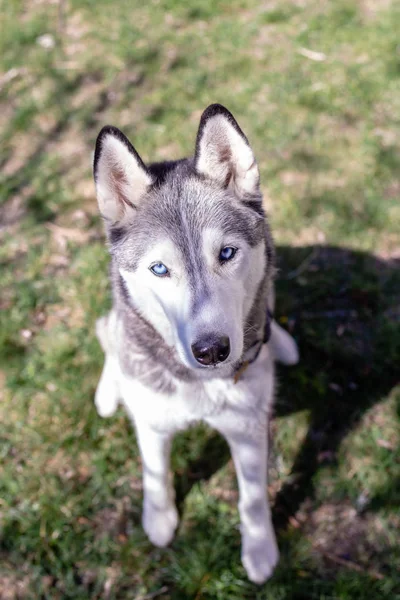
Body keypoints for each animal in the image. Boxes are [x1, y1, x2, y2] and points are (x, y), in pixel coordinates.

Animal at [93, 103, 296, 580]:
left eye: (226, 253)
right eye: (160, 269)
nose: (212, 350)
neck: (201, 384)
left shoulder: (246, 429)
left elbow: (253, 498)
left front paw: (260, 550)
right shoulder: (153, 423)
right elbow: (155, 474)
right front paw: (160, 520)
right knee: (109, 333)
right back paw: (109, 391)